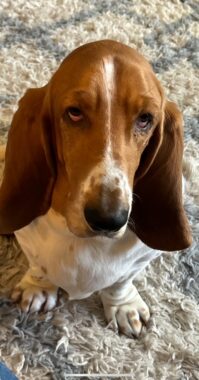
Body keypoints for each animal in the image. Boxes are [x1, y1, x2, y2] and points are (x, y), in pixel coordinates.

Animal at [0, 40, 193, 338]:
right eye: (74, 112)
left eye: (145, 118)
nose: (108, 219)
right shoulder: (30, 241)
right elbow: (38, 265)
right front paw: (38, 288)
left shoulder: (140, 258)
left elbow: (121, 281)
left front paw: (124, 306)